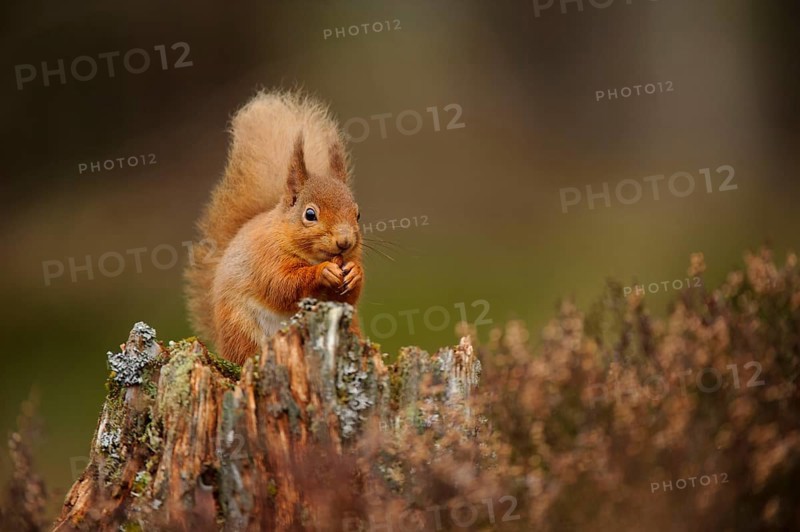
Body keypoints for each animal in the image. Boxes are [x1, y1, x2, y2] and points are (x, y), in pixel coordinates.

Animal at [185, 90, 363, 364]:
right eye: (310, 214)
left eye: (358, 214)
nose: (344, 242)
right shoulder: (266, 258)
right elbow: (282, 284)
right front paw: (322, 272)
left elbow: (348, 298)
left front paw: (354, 273)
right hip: (241, 328)